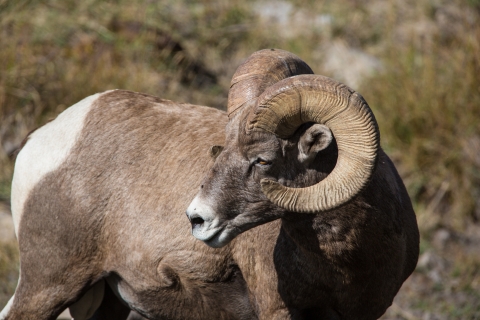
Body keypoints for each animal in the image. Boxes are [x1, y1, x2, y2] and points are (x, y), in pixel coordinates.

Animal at [0, 48, 416, 318]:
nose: (197, 219)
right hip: (48, 285)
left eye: (262, 159)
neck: (345, 262)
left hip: (105, 303)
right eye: (221, 149)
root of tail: (43, 139)